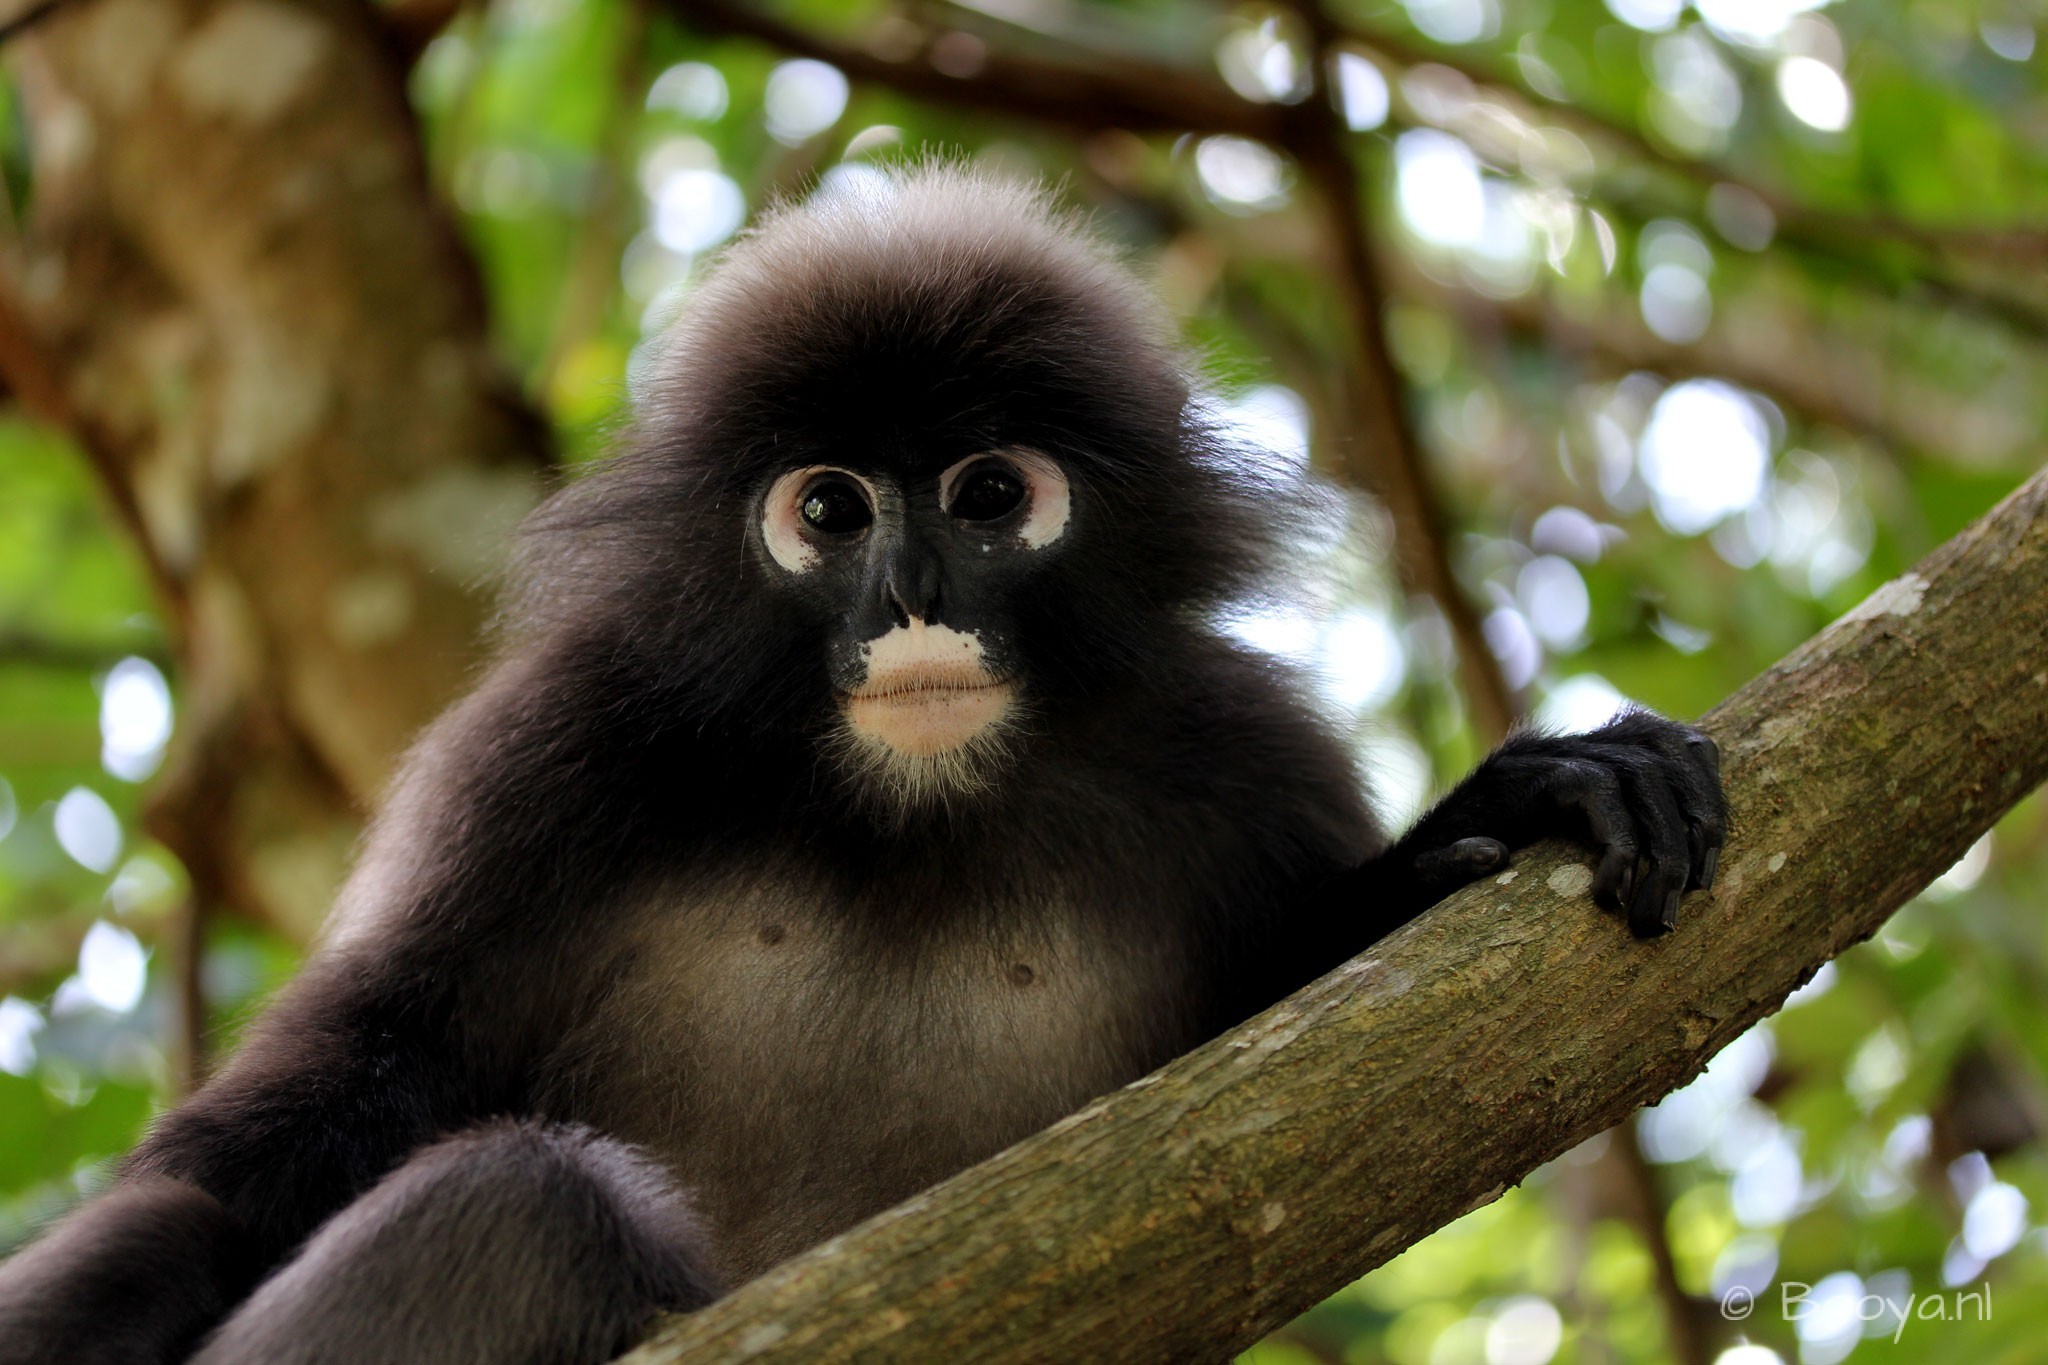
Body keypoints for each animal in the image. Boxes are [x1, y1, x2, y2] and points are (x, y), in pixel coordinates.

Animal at [0, 167, 1725, 1365]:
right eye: (829, 508)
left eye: (986, 495)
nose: (910, 600)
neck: (911, 810)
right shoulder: (545, 755)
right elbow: (259, 1149)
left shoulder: (1238, 748)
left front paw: (1505, 810)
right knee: (533, 1202)